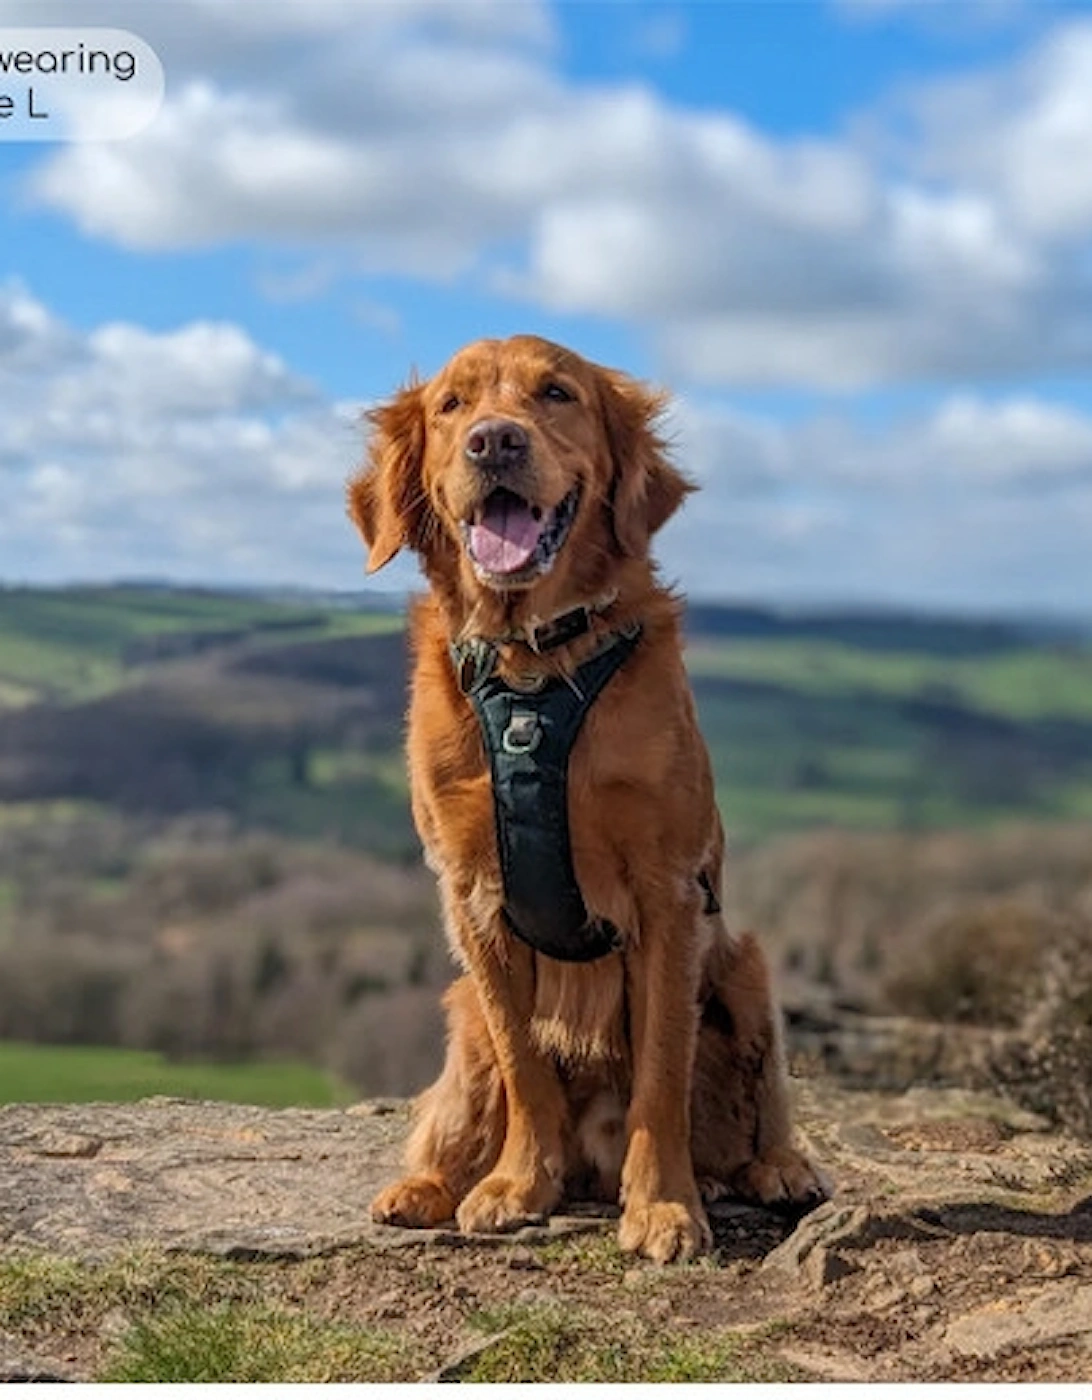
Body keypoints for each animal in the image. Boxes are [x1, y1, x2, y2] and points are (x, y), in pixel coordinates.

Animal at [350, 333, 828, 1265]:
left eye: (557, 394)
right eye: (452, 406)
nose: (494, 442)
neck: (533, 669)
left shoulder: (669, 892)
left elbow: (661, 1073)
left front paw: (666, 1205)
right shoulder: (472, 897)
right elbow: (525, 1065)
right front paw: (515, 1183)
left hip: (746, 967)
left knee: (761, 1104)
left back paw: (777, 1168)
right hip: (462, 1012)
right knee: (459, 1108)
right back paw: (427, 1185)